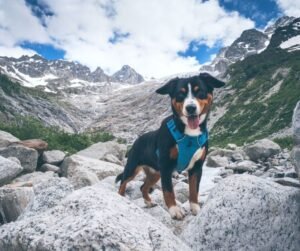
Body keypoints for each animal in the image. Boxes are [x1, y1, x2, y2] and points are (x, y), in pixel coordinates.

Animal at [116, 72, 224, 220]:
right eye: (180, 94)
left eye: (200, 92)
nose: (190, 108)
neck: (188, 134)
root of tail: (137, 141)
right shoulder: (166, 167)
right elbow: (168, 191)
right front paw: (174, 210)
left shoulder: (196, 167)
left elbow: (194, 190)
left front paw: (195, 208)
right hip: (132, 167)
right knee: (123, 182)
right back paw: (120, 198)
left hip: (155, 173)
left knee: (143, 187)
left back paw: (149, 202)